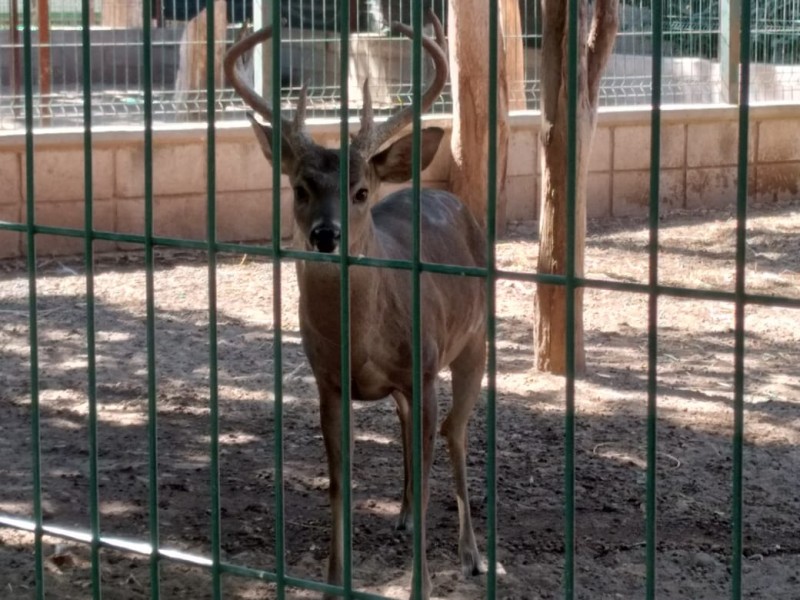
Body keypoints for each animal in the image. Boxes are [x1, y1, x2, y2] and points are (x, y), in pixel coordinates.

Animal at [225, 14, 488, 600]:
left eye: (362, 191)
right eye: (300, 187)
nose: (326, 235)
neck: (361, 336)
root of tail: (451, 197)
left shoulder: (423, 367)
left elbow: (433, 460)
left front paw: (421, 585)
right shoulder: (328, 380)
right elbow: (338, 481)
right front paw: (332, 580)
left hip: (475, 340)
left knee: (455, 433)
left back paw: (471, 555)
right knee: (410, 427)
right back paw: (405, 516)